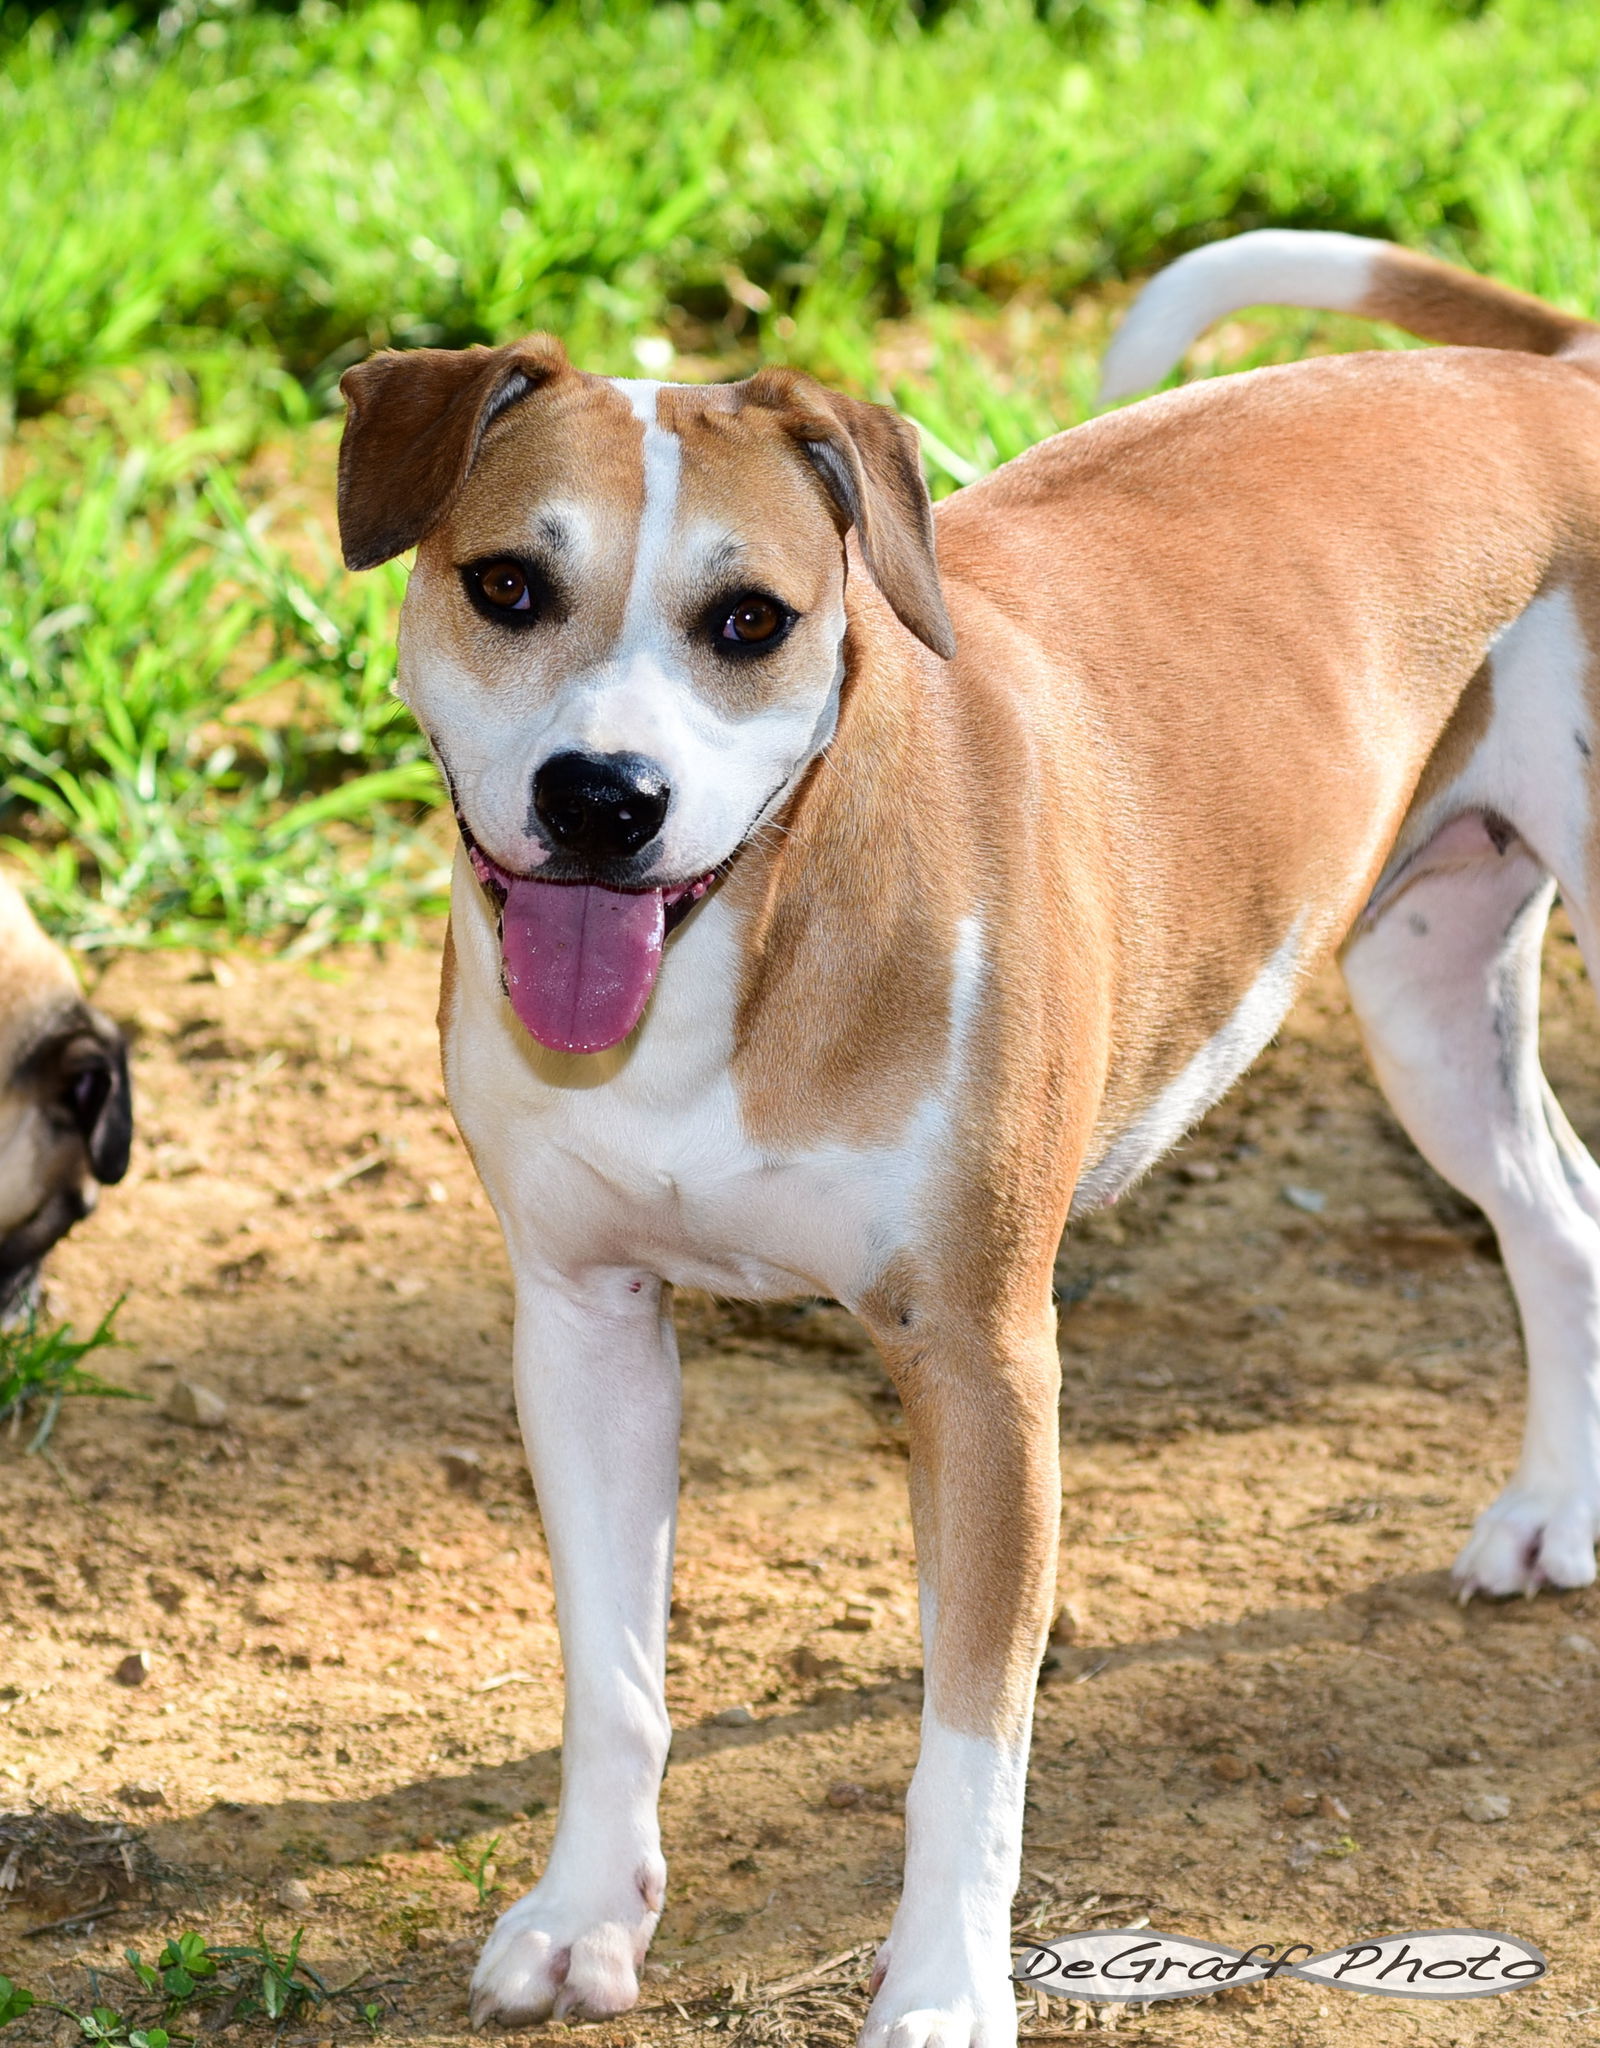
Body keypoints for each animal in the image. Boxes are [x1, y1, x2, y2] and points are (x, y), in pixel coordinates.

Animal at [333, 232, 1597, 2039]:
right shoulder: (584, 1322)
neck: (745, 934)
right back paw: (1551, 1510)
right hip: (1430, 1002)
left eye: (749, 620)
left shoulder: (985, 1359)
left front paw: (940, 1991)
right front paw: (585, 1915)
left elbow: (968, 1748)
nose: (601, 797)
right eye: (507, 584)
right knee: (1555, 1214)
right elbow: (614, 1673)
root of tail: (1553, 375)